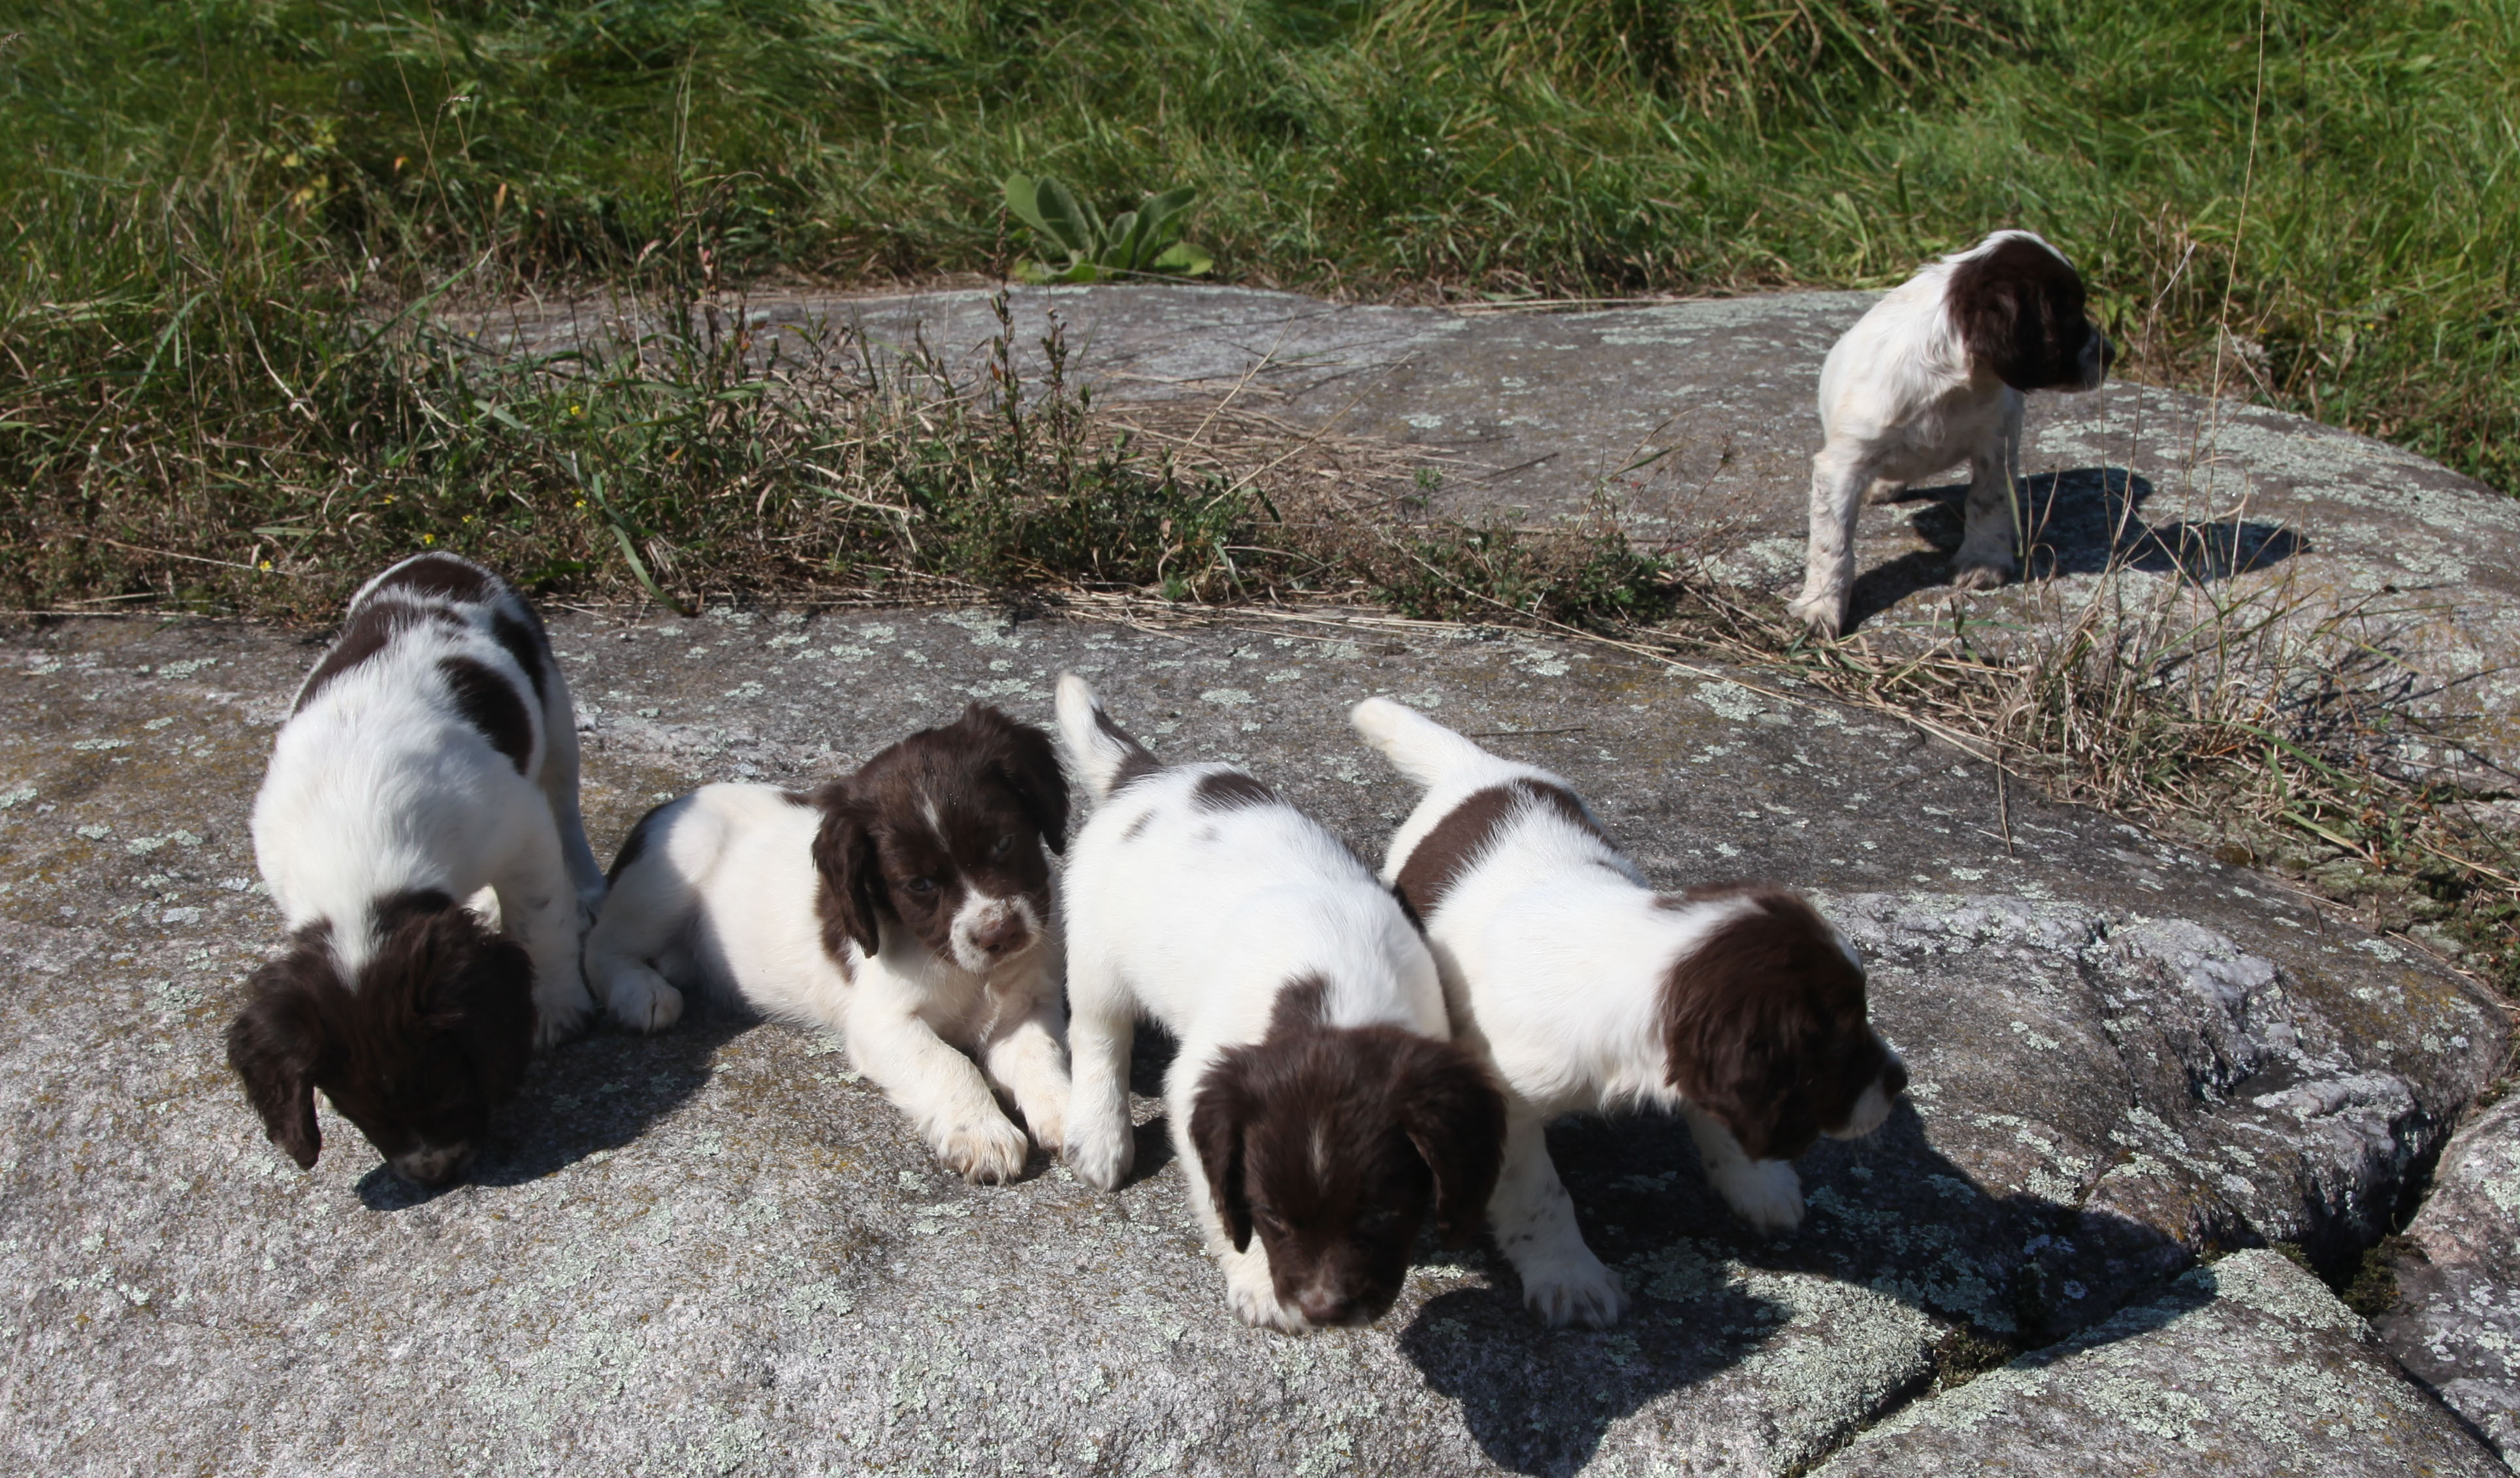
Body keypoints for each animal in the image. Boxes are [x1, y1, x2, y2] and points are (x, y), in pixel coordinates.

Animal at [231, 552, 615, 1185]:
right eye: (350, 1105)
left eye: (446, 1079)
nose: (434, 1171)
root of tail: (438, 558)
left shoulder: (520, 825)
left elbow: (540, 922)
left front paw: (559, 1006)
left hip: (555, 715)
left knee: (565, 804)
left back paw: (586, 889)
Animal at [589, 706, 1073, 1185]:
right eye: (919, 884)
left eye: (1004, 843)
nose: (1000, 934)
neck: (968, 973)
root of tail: (669, 805)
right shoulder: (881, 1022)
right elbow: (948, 1063)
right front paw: (982, 1131)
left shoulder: (1025, 1005)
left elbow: (1041, 1055)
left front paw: (1072, 1114)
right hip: (672, 873)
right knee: (600, 947)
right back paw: (644, 993)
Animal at [1053, 670, 1502, 1332]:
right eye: (1271, 1216)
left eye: (1381, 1215)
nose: (1324, 1311)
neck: (1329, 993)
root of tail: (1142, 775)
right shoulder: (1199, 1085)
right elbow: (1218, 1196)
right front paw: (1257, 1283)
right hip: (1096, 956)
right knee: (1099, 1038)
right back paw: (1101, 1138)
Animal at [1350, 696, 1895, 1332]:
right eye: (1841, 1042)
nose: (1901, 1081)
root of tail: (1481, 767)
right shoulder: (1502, 1101)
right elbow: (1540, 1196)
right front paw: (1571, 1277)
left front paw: (1758, 1184)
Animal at [1784, 225, 2116, 632]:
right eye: (2069, 314)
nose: (2111, 354)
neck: (1951, 378)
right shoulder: (1843, 463)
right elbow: (1833, 543)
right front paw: (1822, 606)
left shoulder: (1996, 440)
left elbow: (1988, 501)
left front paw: (1983, 561)